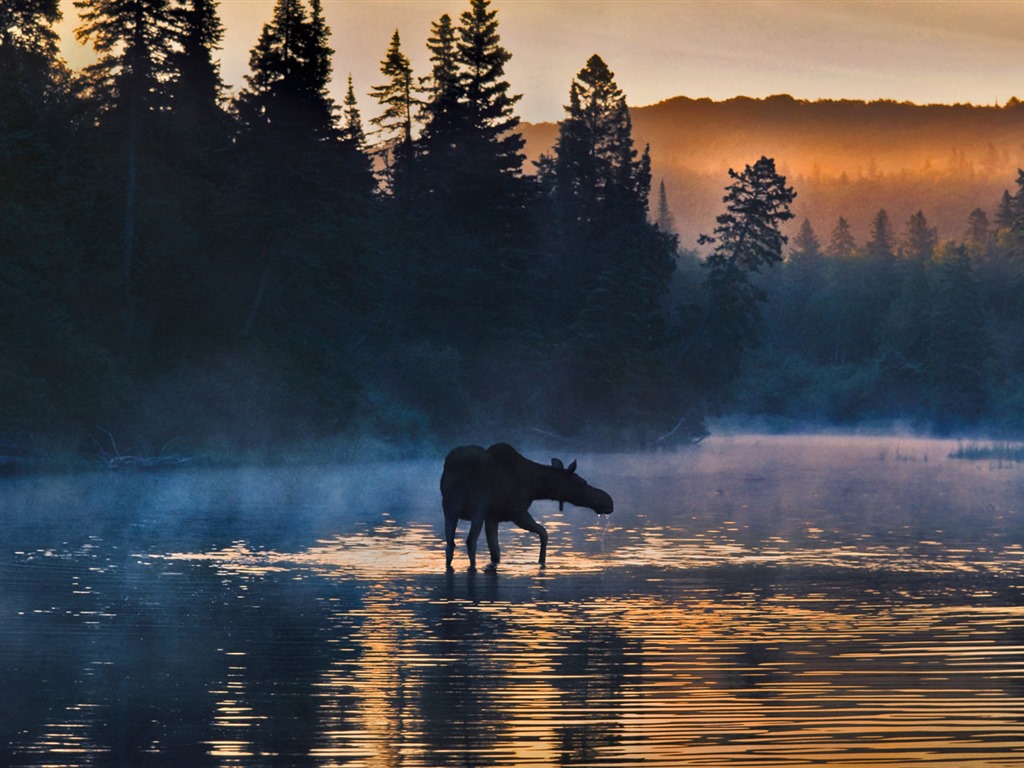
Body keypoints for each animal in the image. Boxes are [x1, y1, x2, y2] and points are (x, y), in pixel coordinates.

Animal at [438, 444, 610, 573]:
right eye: (582, 482)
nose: (608, 501)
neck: (537, 486)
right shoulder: (516, 511)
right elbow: (544, 532)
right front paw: (541, 561)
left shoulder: (492, 516)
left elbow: (495, 551)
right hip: (477, 506)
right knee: (470, 541)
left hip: (450, 507)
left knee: (450, 544)